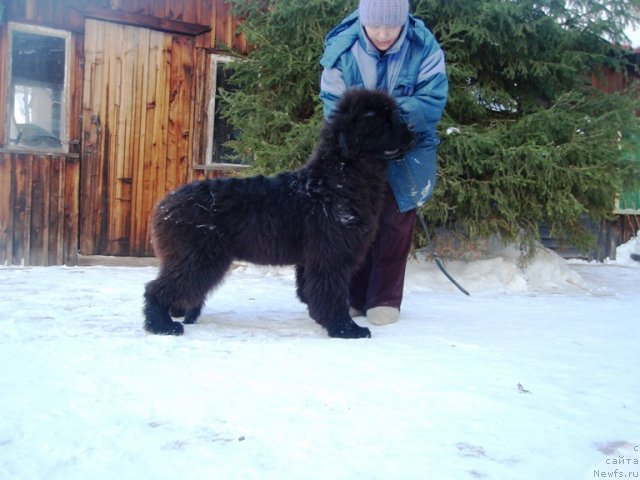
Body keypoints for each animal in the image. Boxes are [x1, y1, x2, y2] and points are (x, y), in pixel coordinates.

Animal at [144, 89, 416, 338]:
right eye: (384, 121)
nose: (414, 130)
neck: (339, 179)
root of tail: (164, 204)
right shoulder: (331, 255)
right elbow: (332, 293)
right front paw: (345, 329)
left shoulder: (312, 258)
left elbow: (313, 291)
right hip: (197, 257)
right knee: (155, 289)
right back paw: (163, 325)